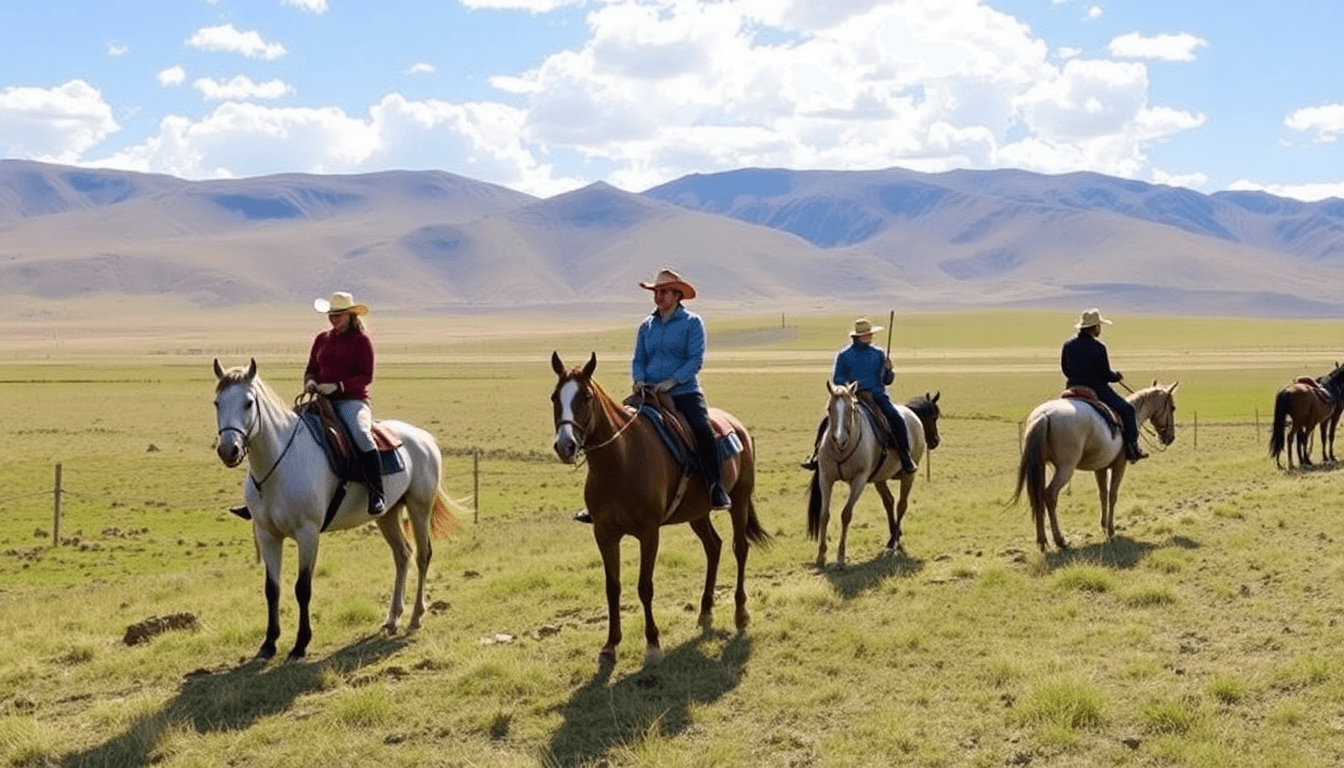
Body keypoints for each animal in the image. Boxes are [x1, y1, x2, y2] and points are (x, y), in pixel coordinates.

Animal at [212, 360, 459, 661]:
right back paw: (392, 618)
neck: (280, 464)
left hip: (419, 507)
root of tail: (425, 439)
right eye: (217, 403)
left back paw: (415, 617)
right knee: (403, 555)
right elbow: (272, 589)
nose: (228, 450)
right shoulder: (267, 535)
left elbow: (302, 588)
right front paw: (269, 643)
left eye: (248, 403)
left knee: (423, 556)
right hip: (387, 514)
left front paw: (300, 644)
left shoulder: (307, 534)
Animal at [548, 352, 779, 667]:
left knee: (739, 548)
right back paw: (705, 612)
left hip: (739, 502)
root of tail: (738, 427)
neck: (619, 462)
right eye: (554, 397)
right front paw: (610, 645)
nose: (565, 446)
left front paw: (653, 644)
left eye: (585, 397)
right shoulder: (604, 533)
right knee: (714, 547)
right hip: (698, 513)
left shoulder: (649, 533)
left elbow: (645, 586)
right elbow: (612, 587)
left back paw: (740, 614)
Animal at [801, 379, 940, 567]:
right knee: (890, 502)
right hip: (880, 479)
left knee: (901, 505)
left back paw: (895, 540)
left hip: (908, 475)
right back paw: (892, 538)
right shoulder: (826, 478)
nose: (935, 441)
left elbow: (846, 514)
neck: (841, 449)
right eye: (829, 408)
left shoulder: (859, 481)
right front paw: (821, 555)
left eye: (851, 409)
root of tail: (912, 416)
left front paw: (840, 556)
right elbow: (824, 514)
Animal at [1010, 381, 1177, 554]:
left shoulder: (1100, 468)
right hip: (1065, 469)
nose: (1170, 437)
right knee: (1049, 495)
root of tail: (1044, 415)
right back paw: (1060, 540)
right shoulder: (1120, 465)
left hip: (1040, 465)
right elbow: (1112, 495)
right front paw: (1111, 531)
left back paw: (1042, 541)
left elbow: (1103, 494)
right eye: (1172, 408)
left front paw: (1103, 526)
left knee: (1037, 497)